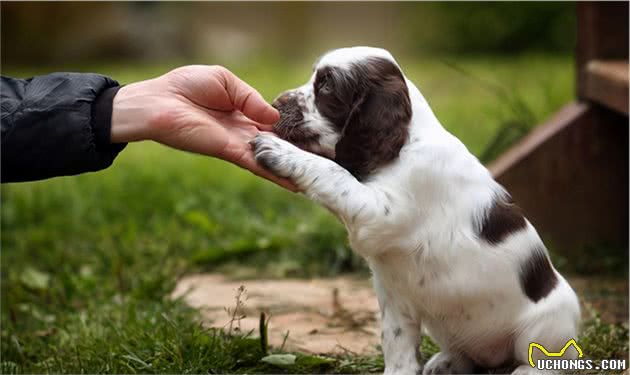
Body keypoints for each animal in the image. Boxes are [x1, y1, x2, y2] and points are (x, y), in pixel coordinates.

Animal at [252, 47, 584, 375]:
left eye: (327, 86)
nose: (274, 104)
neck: (406, 142)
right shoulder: (396, 300)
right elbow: (397, 347)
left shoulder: (382, 212)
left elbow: (335, 173)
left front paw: (280, 152)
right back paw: (445, 363)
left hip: (550, 321)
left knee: (544, 357)